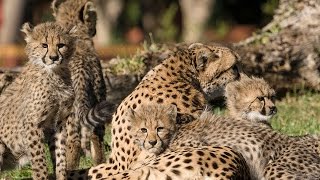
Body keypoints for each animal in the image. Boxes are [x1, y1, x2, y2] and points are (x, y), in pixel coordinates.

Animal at [0, 22, 75, 180]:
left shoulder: (58, 123)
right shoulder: (32, 123)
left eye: (61, 45)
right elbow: (39, 160)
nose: (54, 58)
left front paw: (61, 175)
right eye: (44, 45)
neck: (55, 74)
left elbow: (60, 156)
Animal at [52, 0, 107, 167]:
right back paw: (99, 164)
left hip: (71, 116)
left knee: (74, 142)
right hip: (98, 102)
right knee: (97, 136)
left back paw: (69, 168)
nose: (95, 29)